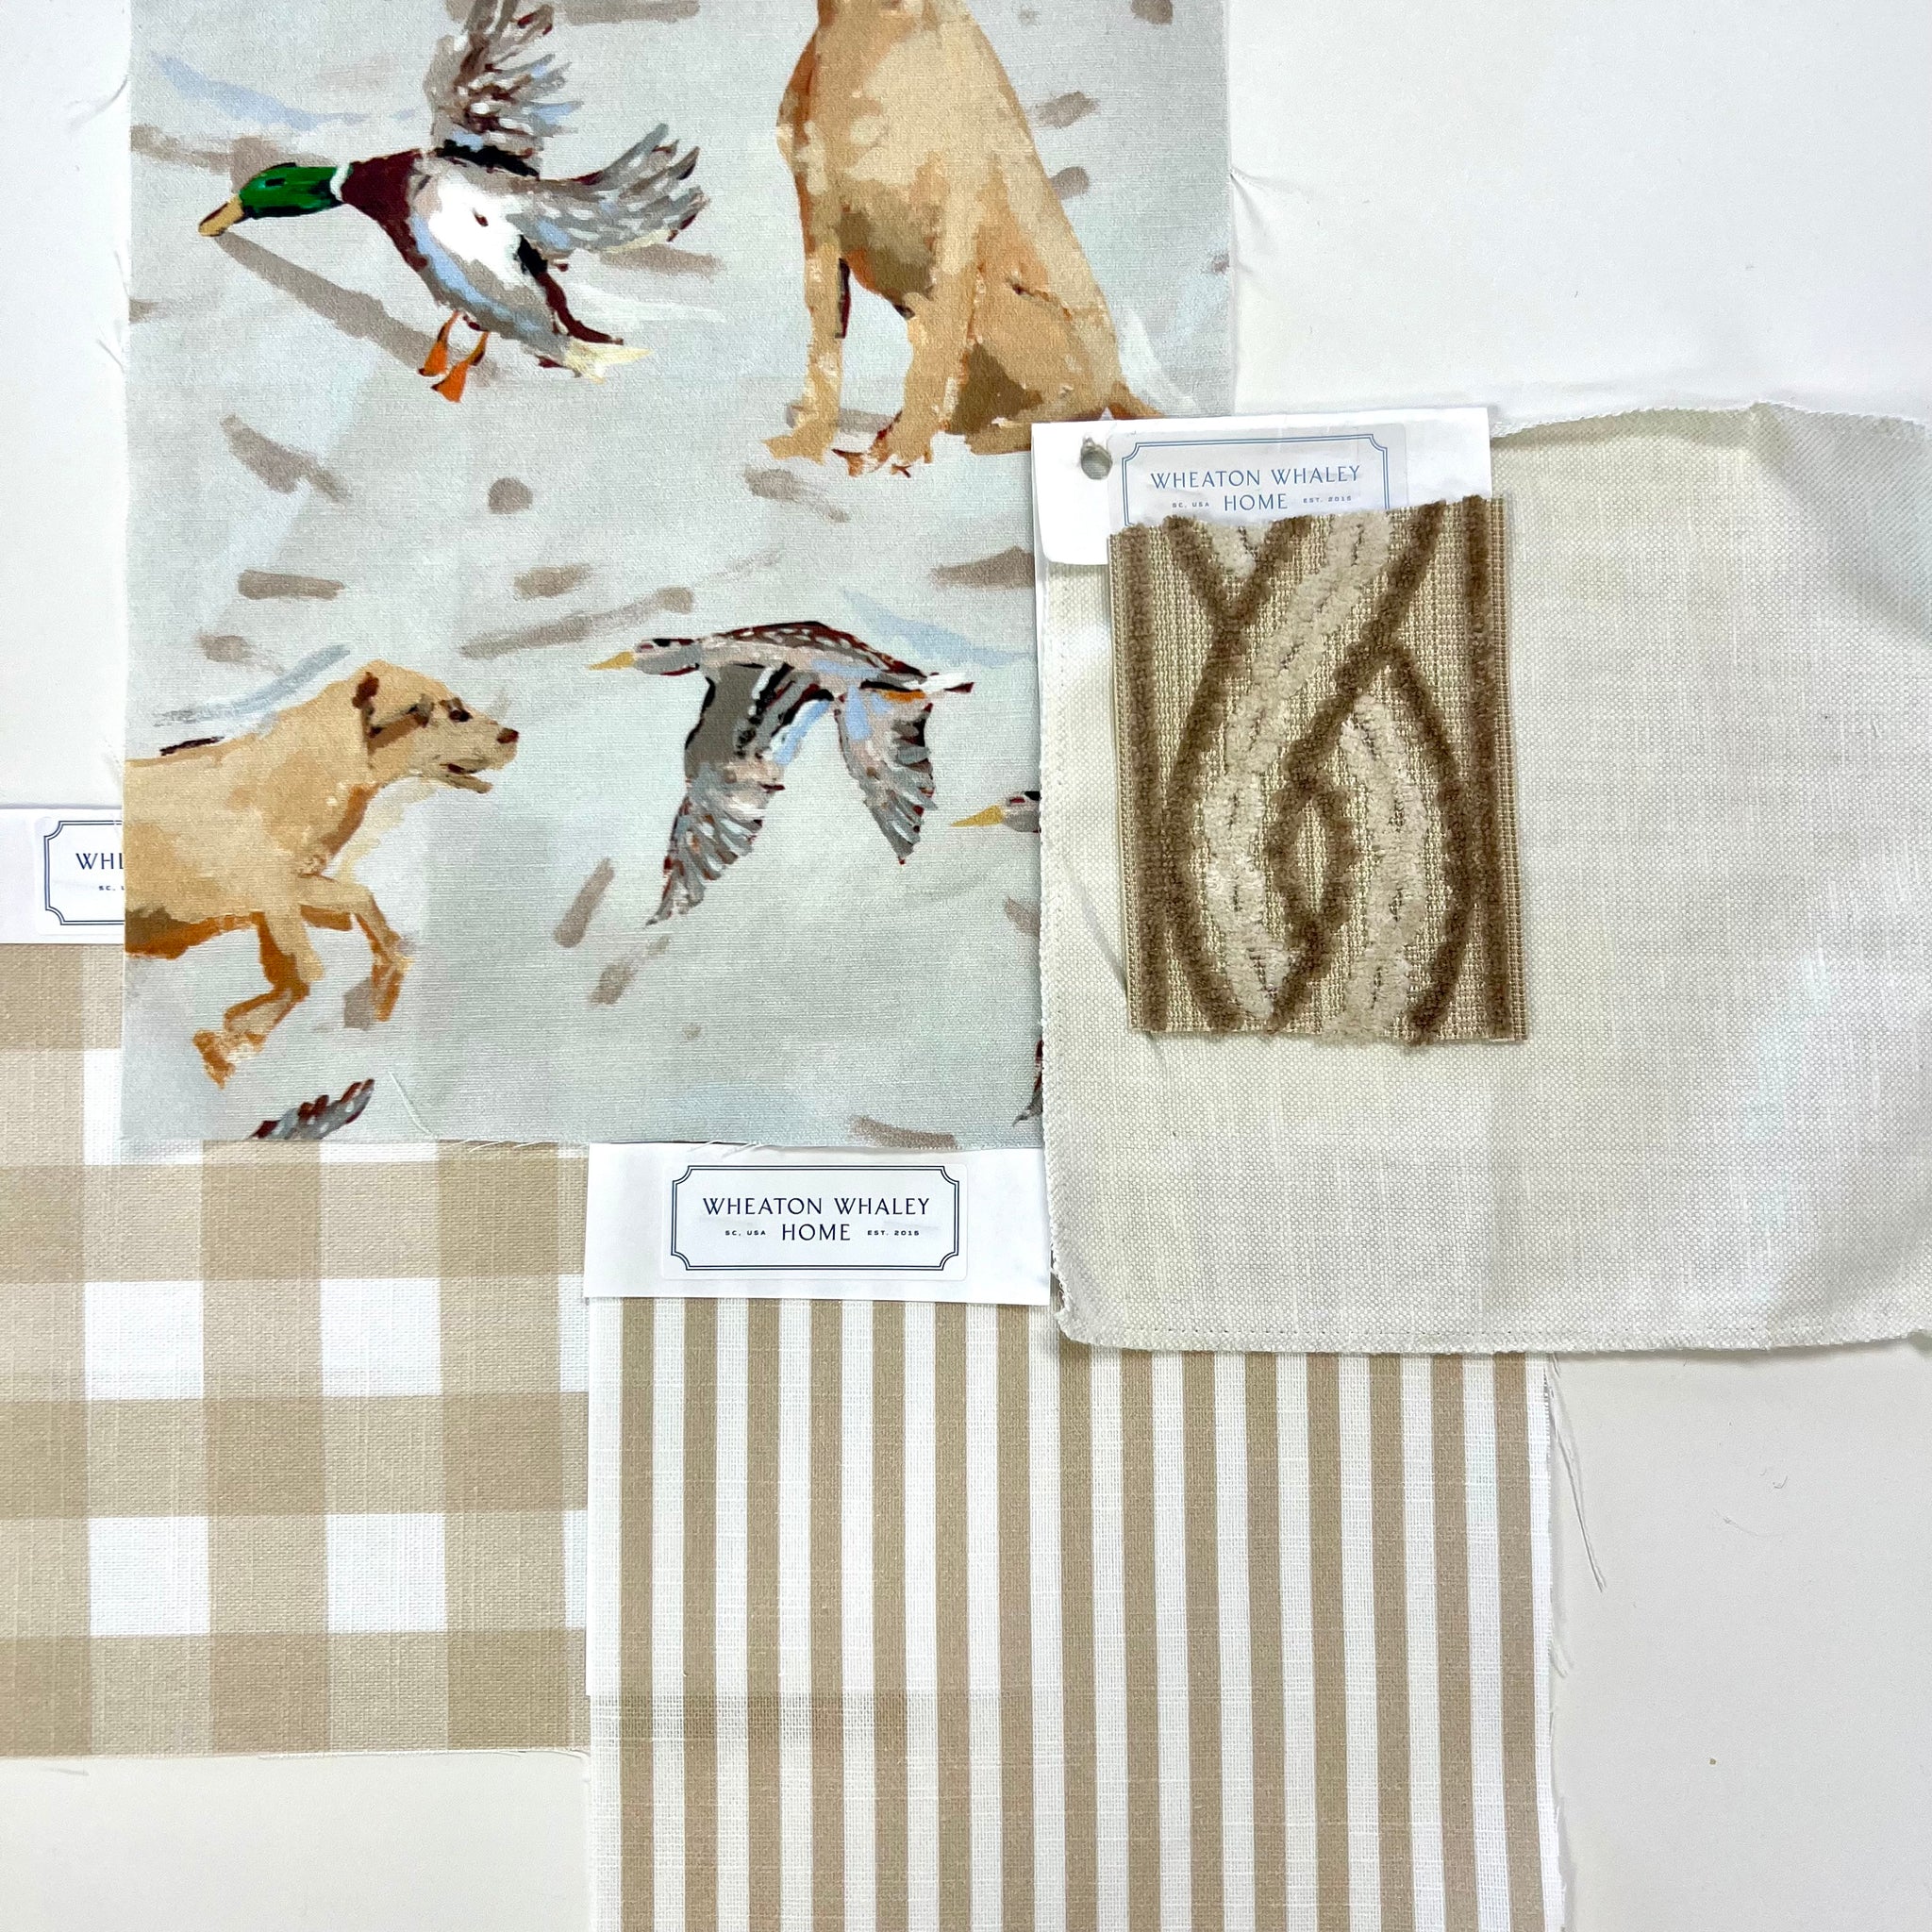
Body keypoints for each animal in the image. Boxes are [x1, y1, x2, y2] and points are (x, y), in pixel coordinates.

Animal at [124, 662, 518, 1085]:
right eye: (455, 712)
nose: (513, 736)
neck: (315, 770)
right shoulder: (274, 895)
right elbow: (309, 971)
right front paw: (235, 1039)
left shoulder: (290, 889)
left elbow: (358, 903)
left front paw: (390, 968)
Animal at [765, 0, 1153, 476]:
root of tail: (1115, 375)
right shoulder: (820, 226)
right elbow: (825, 353)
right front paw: (807, 443)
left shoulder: (956, 231)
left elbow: (931, 361)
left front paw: (898, 455)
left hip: (997, 302)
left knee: (1077, 406)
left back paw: (988, 435)